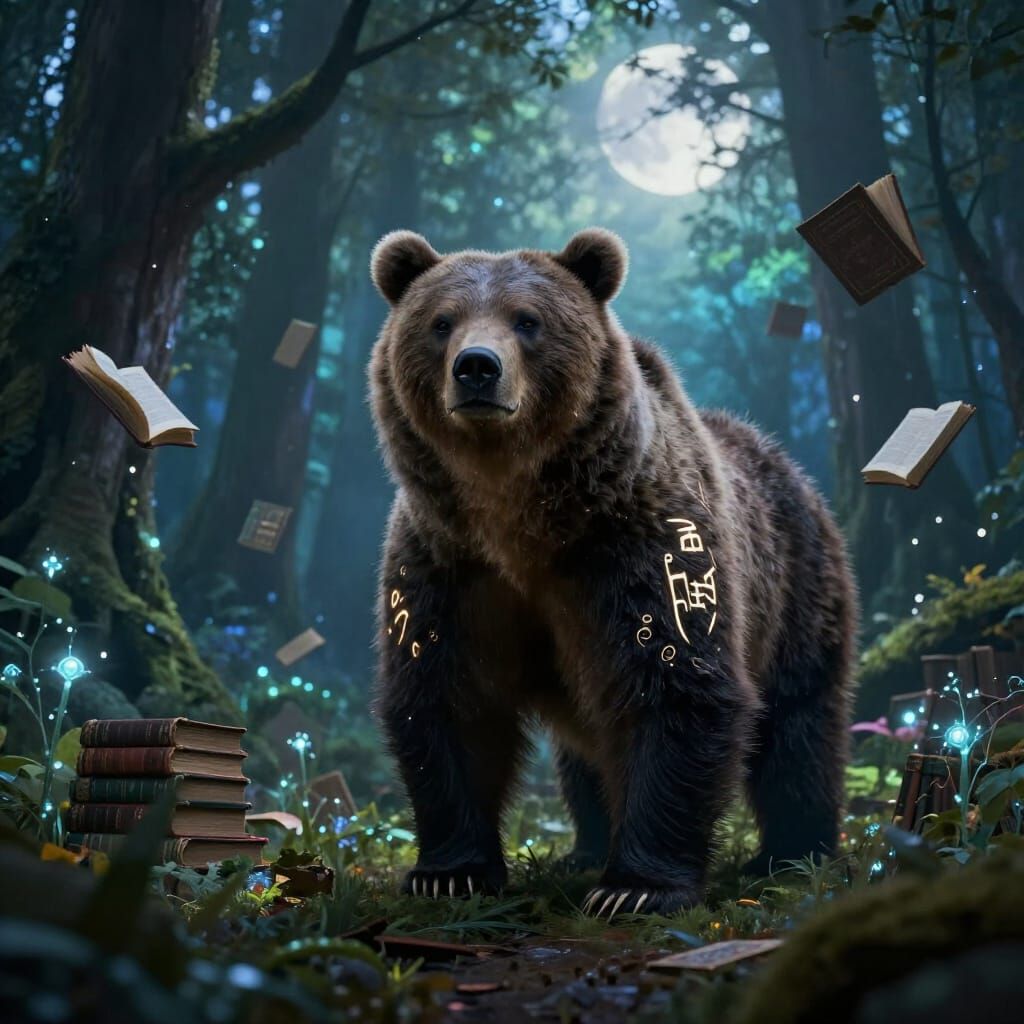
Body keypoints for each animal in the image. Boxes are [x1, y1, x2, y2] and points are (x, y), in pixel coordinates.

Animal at [368, 227, 858, 916]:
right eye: (441, 322)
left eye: (528, 321)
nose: (477, 367)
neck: (517, 513)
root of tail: (791, 467)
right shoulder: (449, 563)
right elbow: (447, 695)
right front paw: (449, 873)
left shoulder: (638, 547)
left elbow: (674, 683)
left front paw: (636, 888)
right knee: (586, 749)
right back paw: (585, 848)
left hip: (797, 587)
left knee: (798, 726)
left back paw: (790, 854)